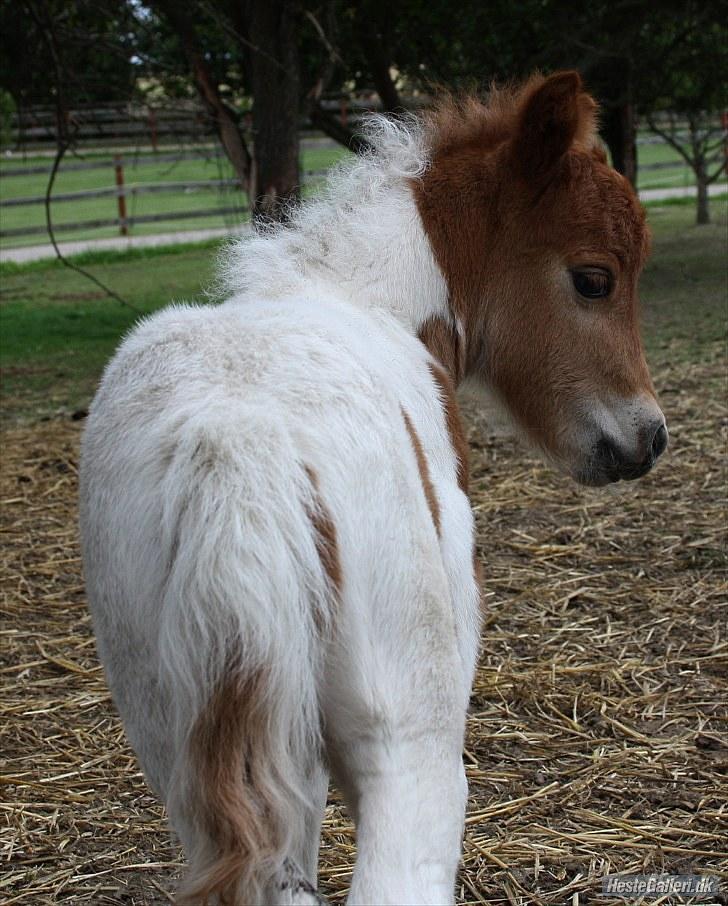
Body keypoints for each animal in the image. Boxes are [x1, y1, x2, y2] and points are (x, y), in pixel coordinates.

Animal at [78, 72, 664, 904]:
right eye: (594, 279)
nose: (649, 437)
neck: (367, 302)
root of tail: (236, 450)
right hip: (409, 730)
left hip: (176, 744)